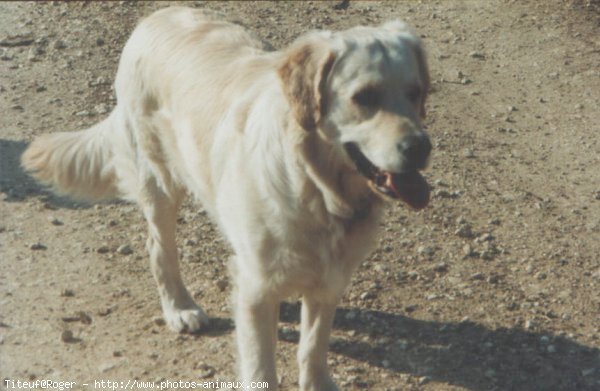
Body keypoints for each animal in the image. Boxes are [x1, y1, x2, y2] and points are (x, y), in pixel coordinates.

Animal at [22, 6, 432, 391]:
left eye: (415, 93)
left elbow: (313, 347)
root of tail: (154, 17)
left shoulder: (330, 279)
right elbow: (261, 367)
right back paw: (180, 307)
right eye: (364, 97)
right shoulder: (256, 287)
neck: (315, 185)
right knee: (159, 248)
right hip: (160, 179)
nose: (420, 147)